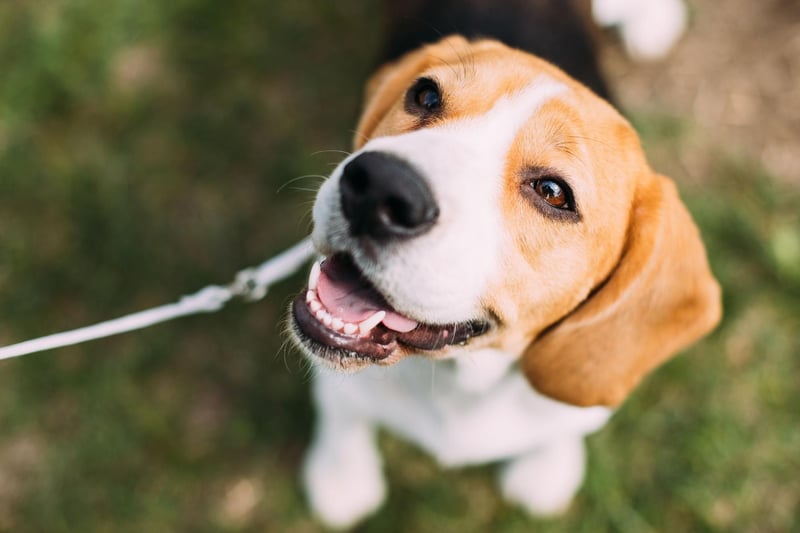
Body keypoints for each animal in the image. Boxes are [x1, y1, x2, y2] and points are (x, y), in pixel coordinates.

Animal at [286, 0, 712, 528]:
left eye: (553, 192)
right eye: (426, 95)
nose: (378, 187)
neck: (460, 380)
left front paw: (547, 468)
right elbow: (343, 410)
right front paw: (342, 475)